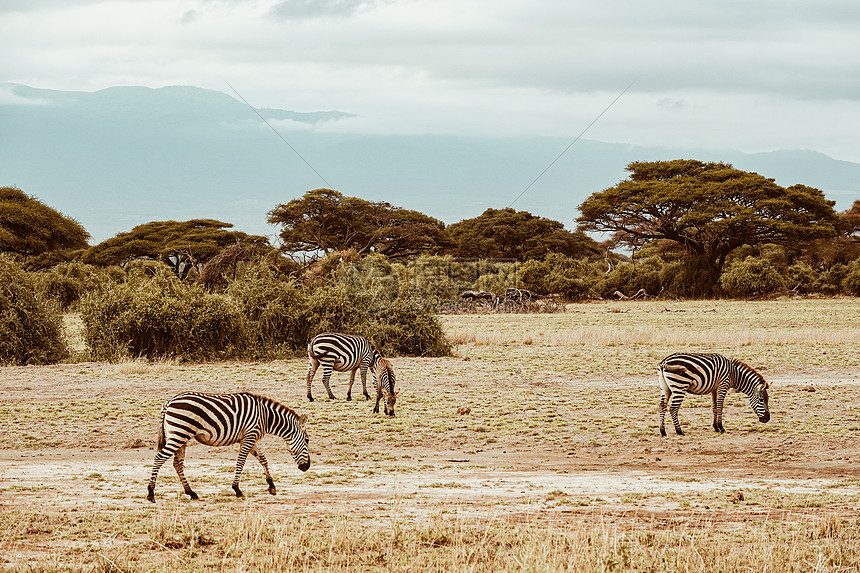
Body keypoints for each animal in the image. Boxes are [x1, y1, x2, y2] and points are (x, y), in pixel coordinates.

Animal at [146, 392, 310, 502]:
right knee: (159, 458)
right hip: (179, 434)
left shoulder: (249, 438)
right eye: (307, 440)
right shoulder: (249, 436)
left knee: (177, 463)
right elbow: (241, 462)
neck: (265, 416)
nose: (307, 467)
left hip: (180, 436)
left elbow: (263, 459)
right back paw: (151, 493)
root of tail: (169, 402)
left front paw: (271, 485)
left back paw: (191, 492)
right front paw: (237, 489)